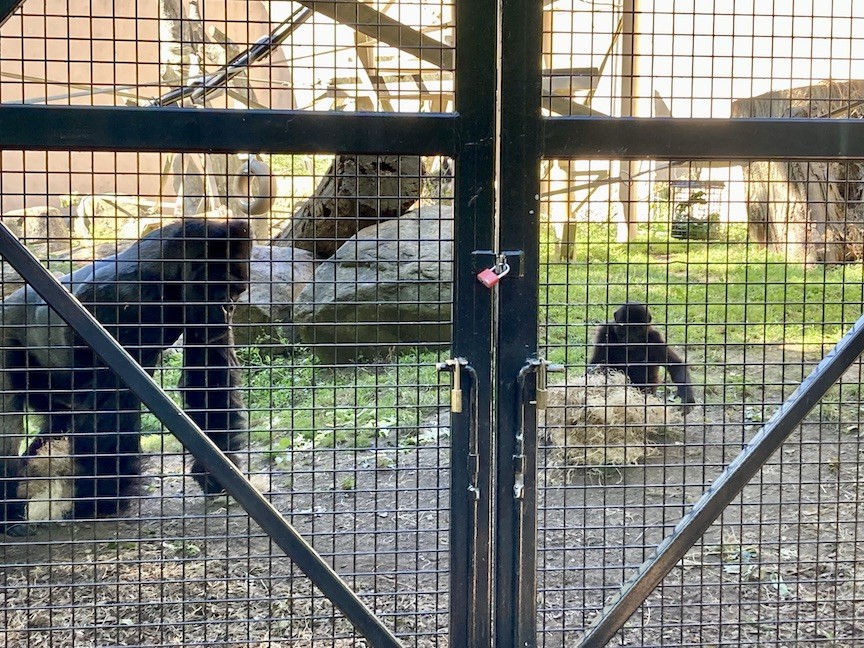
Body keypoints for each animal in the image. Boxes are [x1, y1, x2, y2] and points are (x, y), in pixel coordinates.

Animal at [0, 218, 253, 532]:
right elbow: (113, 404)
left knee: (58, 420)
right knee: (9, 422)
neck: (166, 274)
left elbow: (210, 378)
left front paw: (216, 472)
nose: (228, 309)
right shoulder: (126, 303)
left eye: (237, 291)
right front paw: (102, 499)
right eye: (223, 289)